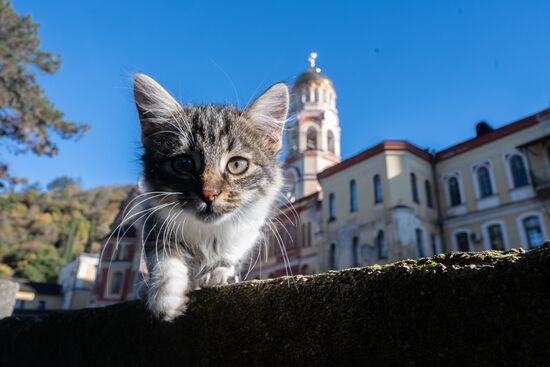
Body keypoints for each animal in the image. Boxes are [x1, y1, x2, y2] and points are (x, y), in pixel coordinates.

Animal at [135, 73, 288, 320]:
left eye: (237, 165)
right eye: (184, 163)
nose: (209, 194)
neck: (209, 232)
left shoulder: (253, 224)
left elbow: (235, 250)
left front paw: (220, 271)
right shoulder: (154, 218)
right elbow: (163, 255)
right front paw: (165, 295)